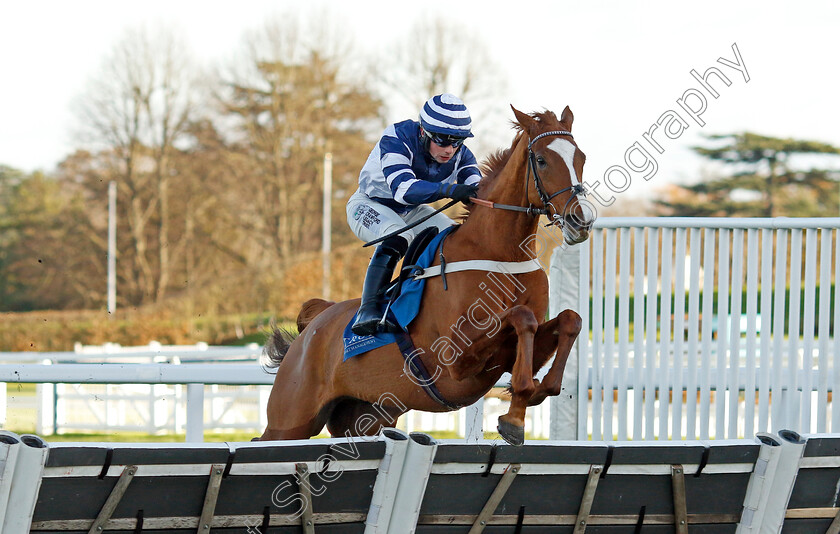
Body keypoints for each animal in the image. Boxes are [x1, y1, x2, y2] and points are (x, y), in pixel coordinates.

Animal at [260, 105, 592, 448]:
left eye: (580, 157)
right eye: (541, 159)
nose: (579, 221)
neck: (502, 255)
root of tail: (315, 322)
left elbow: (570, 320)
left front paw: (528, 400)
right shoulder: (455, 360)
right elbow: (522, 317)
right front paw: (516, 411)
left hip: (365, 417)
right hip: (290, 419)